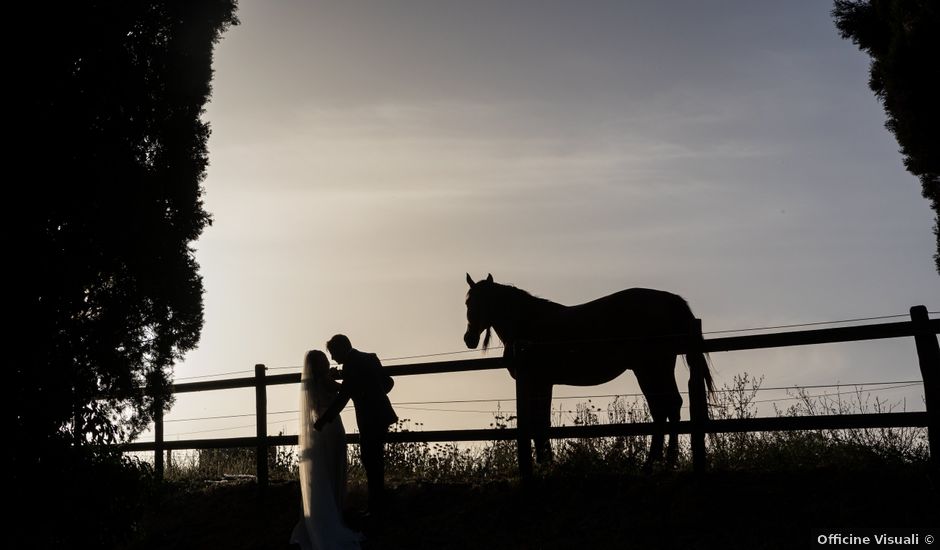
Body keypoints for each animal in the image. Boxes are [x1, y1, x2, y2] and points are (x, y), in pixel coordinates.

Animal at [462, 274, 712, 472]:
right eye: (467, 302)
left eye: (486, 302)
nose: (469, 339)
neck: (528, 322)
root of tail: (670, 300)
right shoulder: (542, 383)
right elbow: (540, 422)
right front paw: (545, 463)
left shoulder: (537, 381)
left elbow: (539, 422)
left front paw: (546, 464)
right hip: (657, 369)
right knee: (670, 408)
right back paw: (664, 462)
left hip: (650, 368)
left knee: (664, 409)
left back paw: (655, 463)